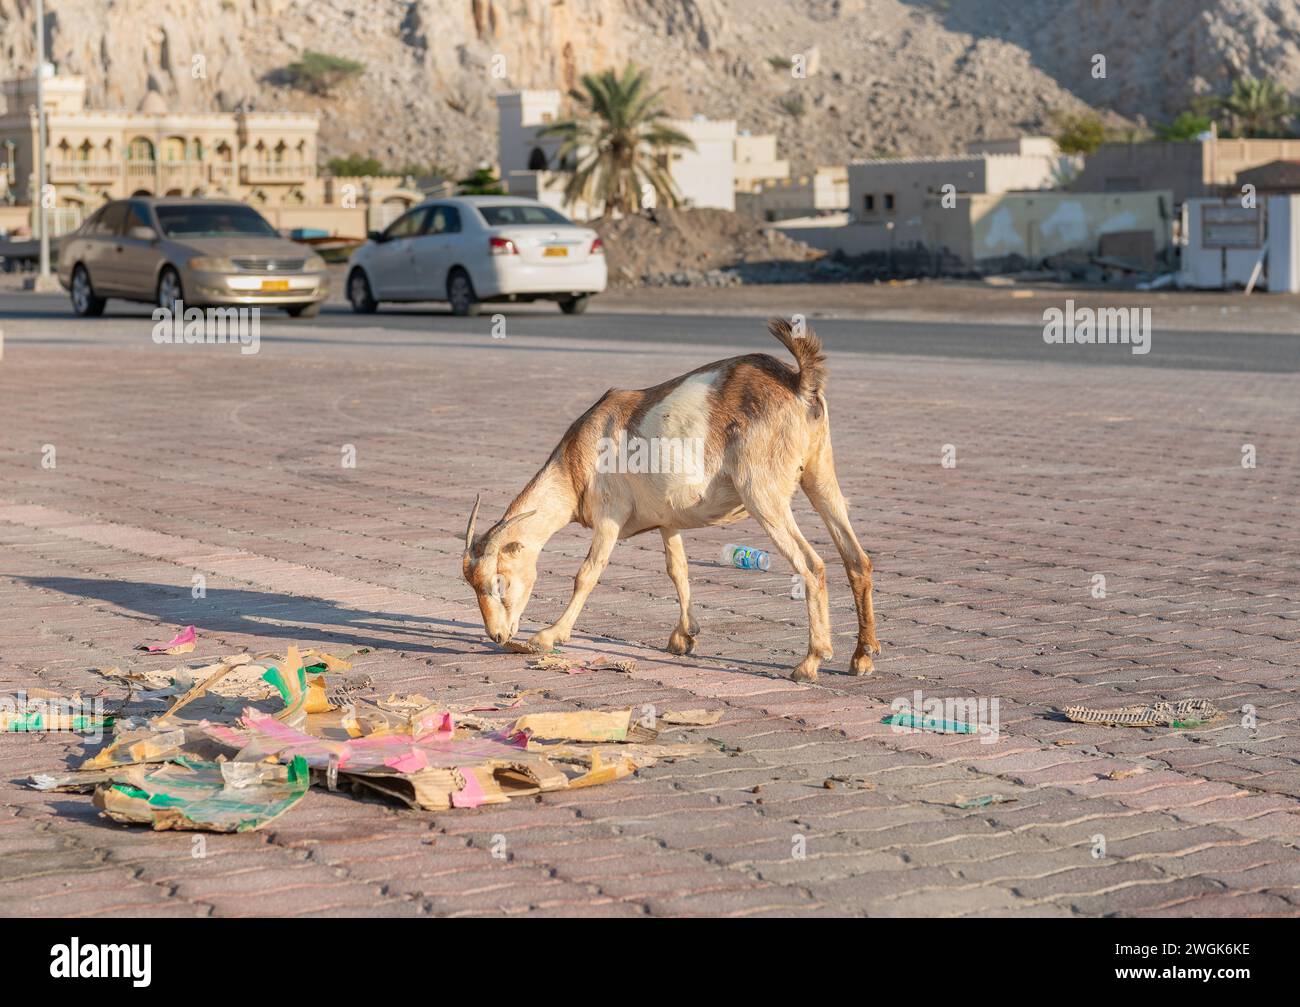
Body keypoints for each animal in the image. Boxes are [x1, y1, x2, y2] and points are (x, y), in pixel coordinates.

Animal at [462, 319, 878, 680]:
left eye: (498, 582)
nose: (498, 636)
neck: (577, 462)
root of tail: (797, 381)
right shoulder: (668, 521)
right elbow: (678, 569)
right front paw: (684, 636)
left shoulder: (609, 516)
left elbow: (587, 573)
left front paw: (548, 636)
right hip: (819, 473)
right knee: (856, 558)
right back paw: (862, 657)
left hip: (763, 493)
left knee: (811, 565)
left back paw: (810, 662)